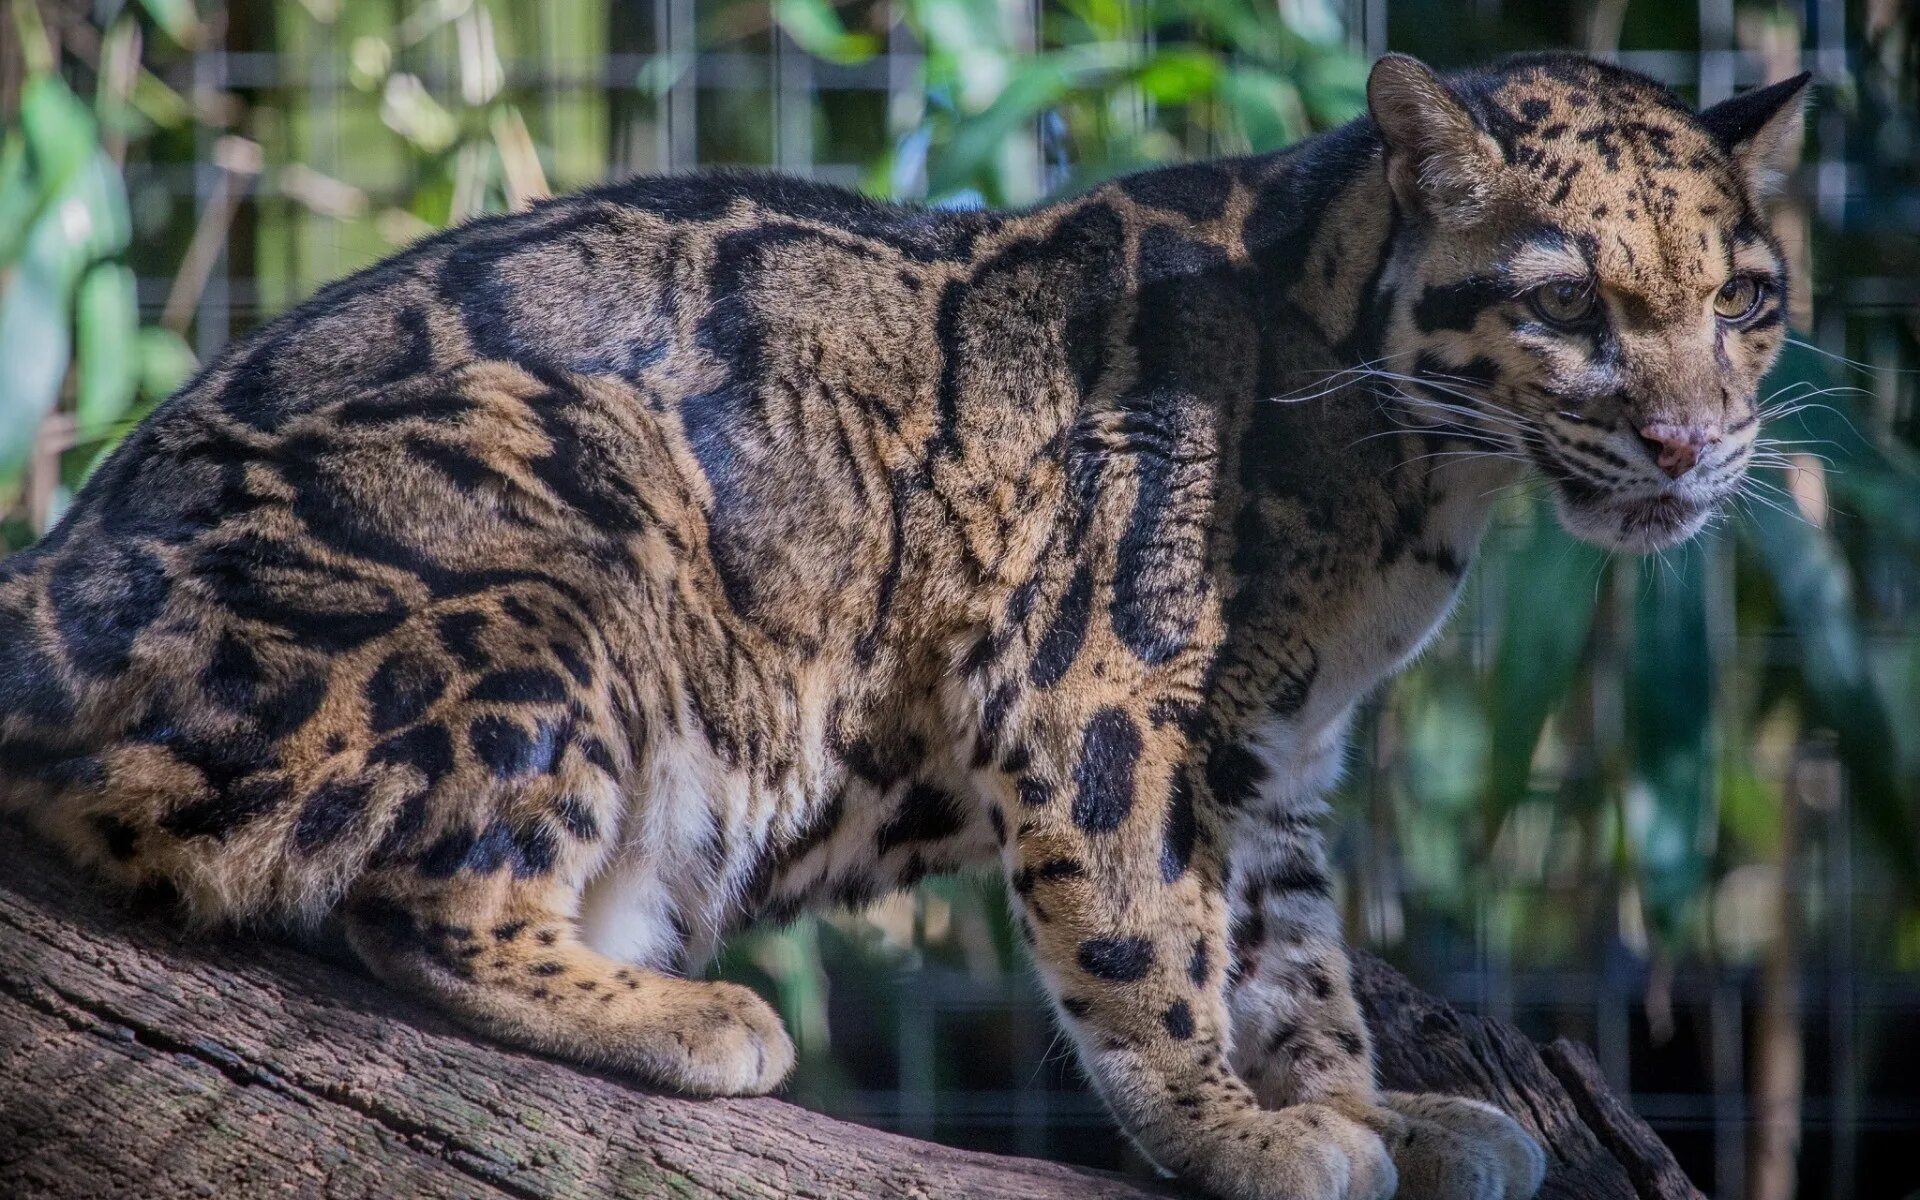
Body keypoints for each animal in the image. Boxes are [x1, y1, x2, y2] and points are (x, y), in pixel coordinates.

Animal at [0, 51, 1804, 1190]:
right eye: (1566, 304)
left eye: (1748, 302)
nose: (1693, 445)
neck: (1429, 476)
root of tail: (51, 571)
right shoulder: (1098, 679)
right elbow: (1145, 926)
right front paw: (1232, 1129)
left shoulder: (1273, 748)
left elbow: (1294, 953)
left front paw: (1371, 1106)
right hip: (578, 509)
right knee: (414, 899)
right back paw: (689, 1012)